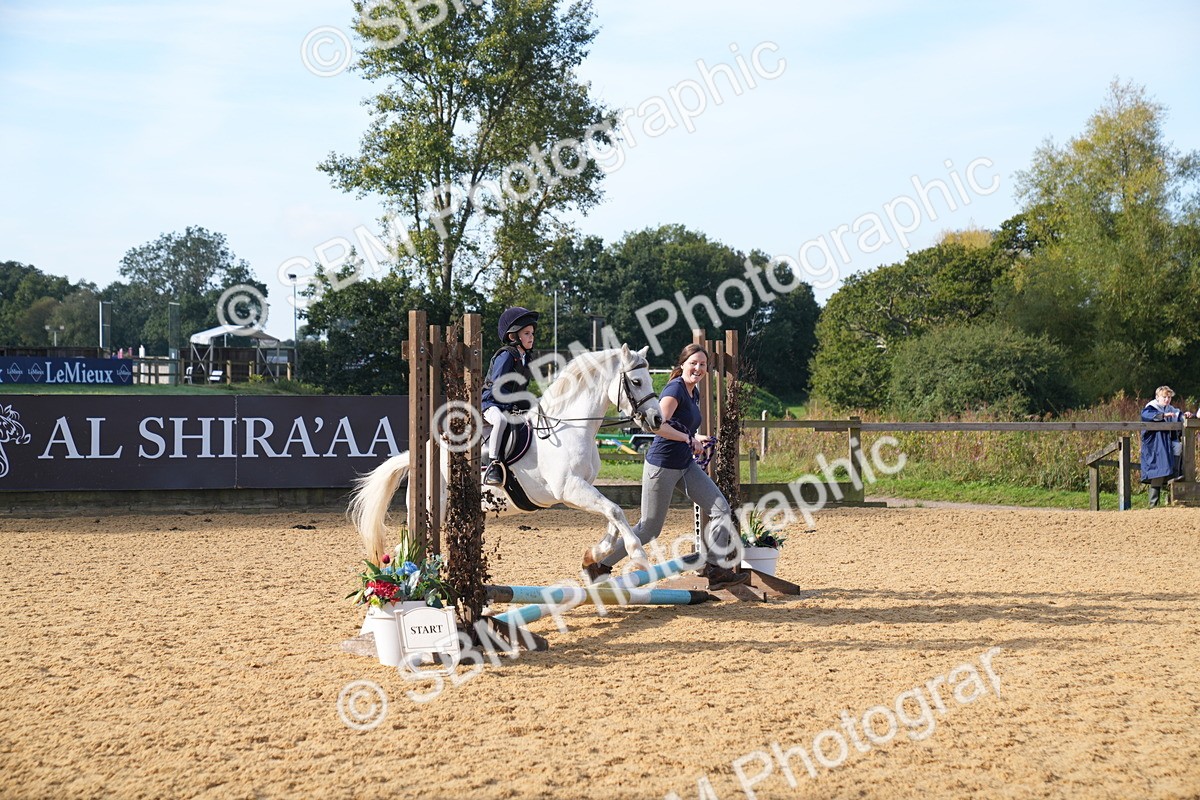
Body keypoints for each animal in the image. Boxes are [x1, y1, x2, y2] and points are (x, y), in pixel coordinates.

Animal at [349, 344, 664, 568]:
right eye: (636, 382)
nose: (658, 419)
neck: (571, 426)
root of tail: (420, 455)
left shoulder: (581, 488)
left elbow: (612, 513)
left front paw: (596, 553)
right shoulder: (569, 489)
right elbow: (614, 510)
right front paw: (638, 555)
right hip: (432, 511)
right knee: (407, 547)